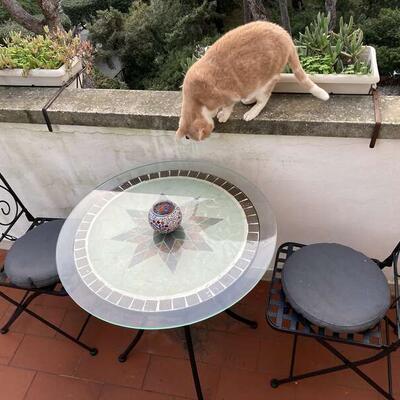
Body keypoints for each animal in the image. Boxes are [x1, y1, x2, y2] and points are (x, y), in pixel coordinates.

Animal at [176, 21, 329, 141]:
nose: (205, 138)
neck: (197, 98)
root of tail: (285, 33)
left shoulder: (228, 96)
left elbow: (228, 107)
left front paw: (223, 114)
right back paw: (248, 100)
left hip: (266, 81)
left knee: (263, 99)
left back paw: (252, 111)